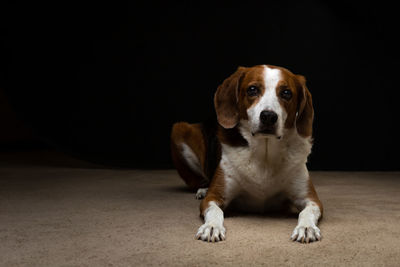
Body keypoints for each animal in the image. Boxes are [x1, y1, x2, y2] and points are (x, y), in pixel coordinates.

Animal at [170, 63, 324, 244]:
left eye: (286, 93)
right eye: (252, 89)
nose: (268, 116)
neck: (264, 153)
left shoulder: (311, 199)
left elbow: (307, 211)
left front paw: (306, 227)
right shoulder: (214, 197)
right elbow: (215, 211)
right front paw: (212, 226)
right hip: (180, 129)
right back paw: (202, 189)